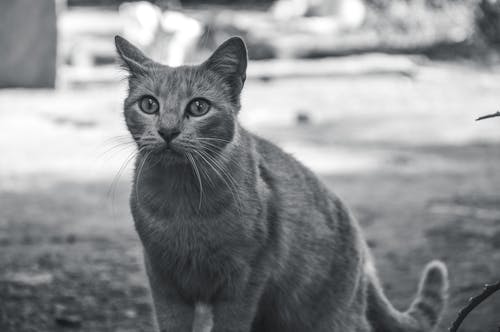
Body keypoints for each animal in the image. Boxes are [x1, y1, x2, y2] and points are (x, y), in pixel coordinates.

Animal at [116, 34, 450, 332]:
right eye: (149, 105)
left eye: (199, 107)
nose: (167, 131)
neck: (182, 202)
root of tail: (365, 258)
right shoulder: (163, 280)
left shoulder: (245, 281)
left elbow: (231, 324)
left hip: (329, 315)